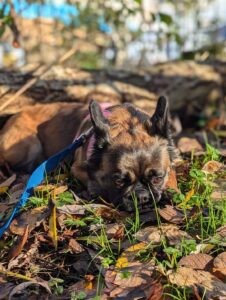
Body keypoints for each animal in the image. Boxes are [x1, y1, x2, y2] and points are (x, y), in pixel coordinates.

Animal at [0, 96, 177, 211]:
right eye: (118, 181)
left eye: (157, 179)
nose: (141, 196)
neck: (126, 123)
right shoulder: (77, 169)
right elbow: (93, 182)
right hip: (29, 146)